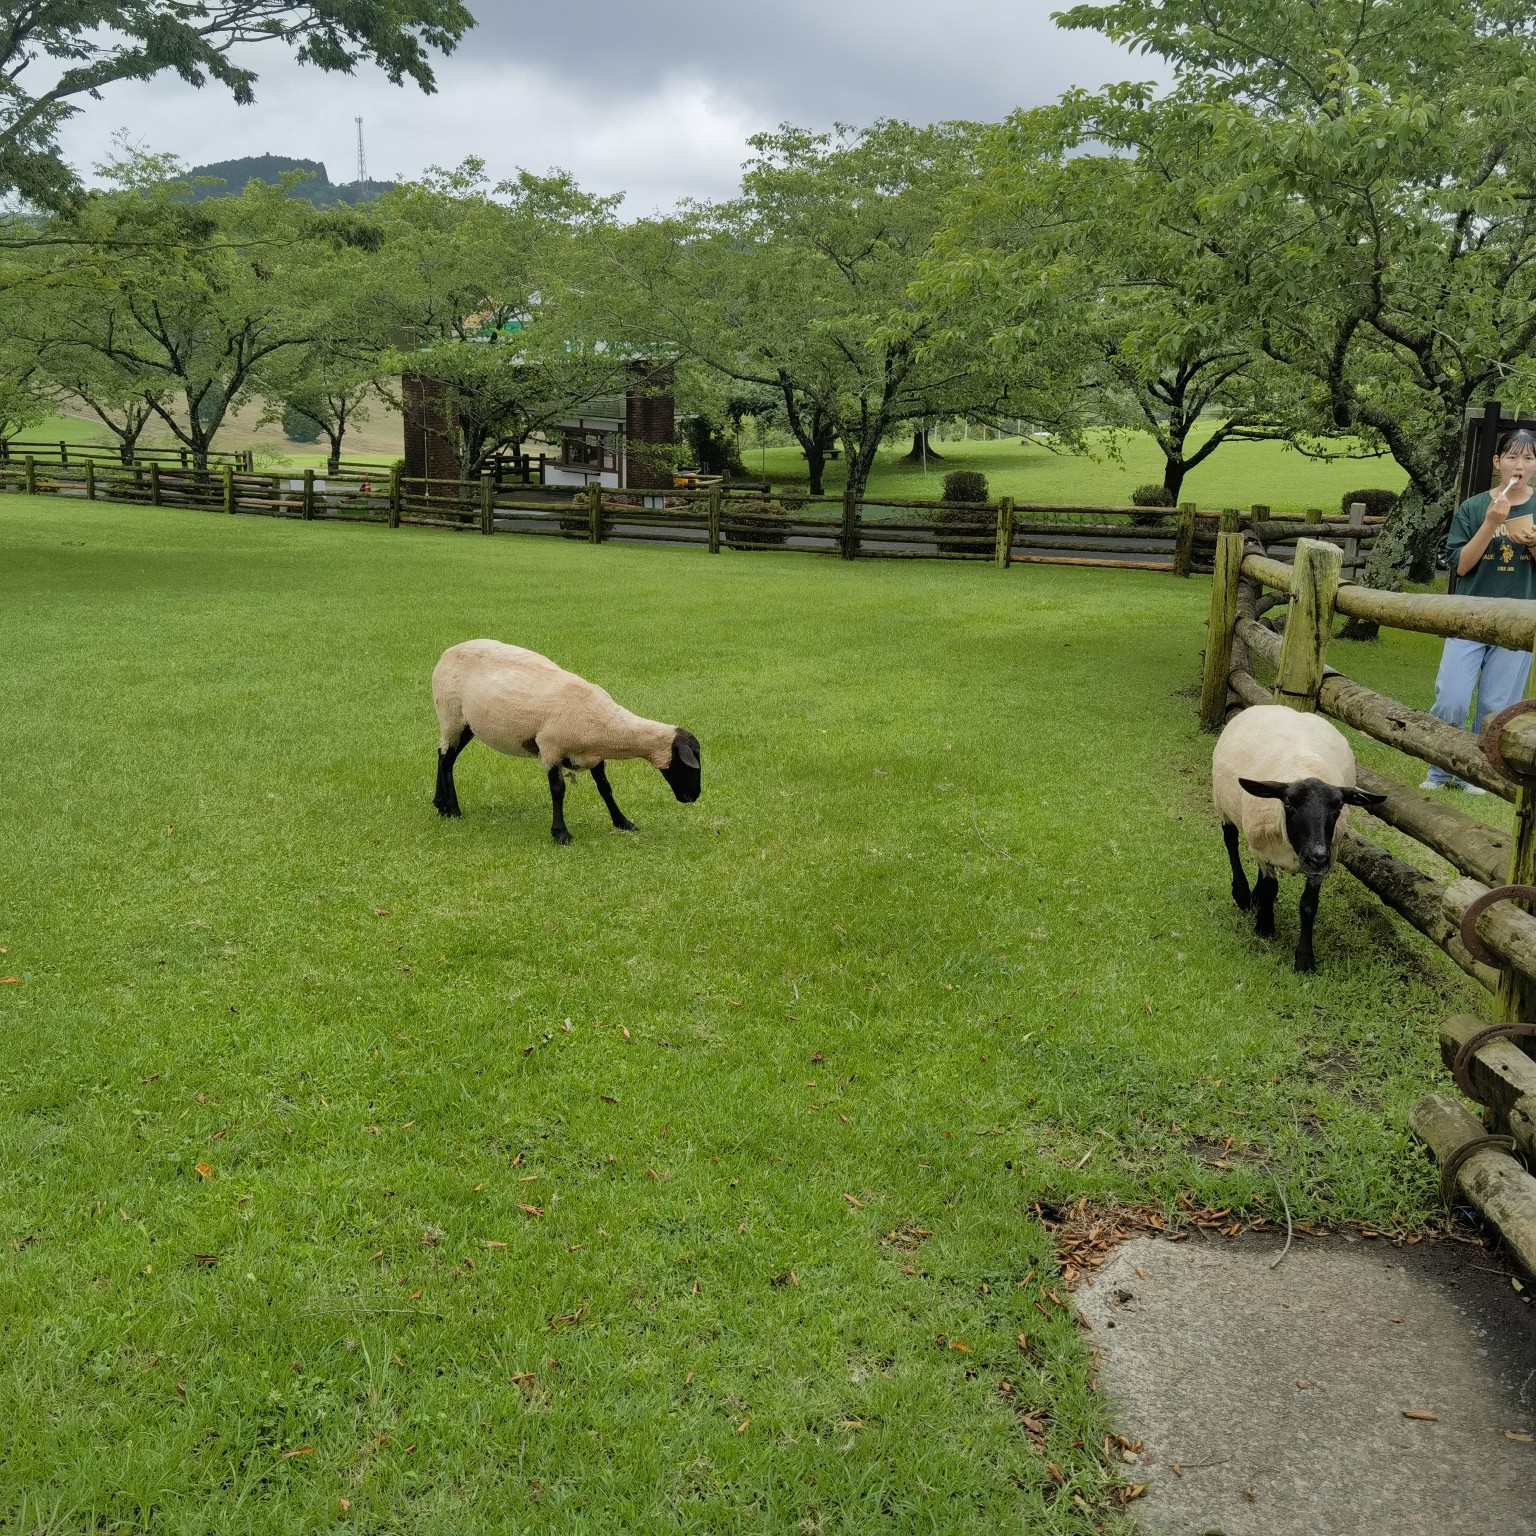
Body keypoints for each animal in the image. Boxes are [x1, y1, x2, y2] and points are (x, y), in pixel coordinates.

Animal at [430, 638, 700, 854]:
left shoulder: (594, 756)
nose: (694, 796)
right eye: (690, 761)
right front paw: (561, 833)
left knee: (444, 756)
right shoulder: (551, 749)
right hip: (451, 714)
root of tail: (447, 652)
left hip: (466, 724)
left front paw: (623, 822)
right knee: (446, 758)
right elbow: (558, 790)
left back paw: (440, 804)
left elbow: (606, 789)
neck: (609, 726)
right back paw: (453, 810)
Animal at [1210, 703, 1382, 970]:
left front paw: (1305, 960)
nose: (1316, 857)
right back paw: (1243, 895)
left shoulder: (1322, 865)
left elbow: (1308, 906)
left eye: (1338, 808)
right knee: (1230, 842)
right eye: (1289, 805)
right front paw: (1265, 927)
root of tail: (1273, 705)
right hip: (1224, 806)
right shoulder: (1262, 852)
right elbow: (1270, 887)